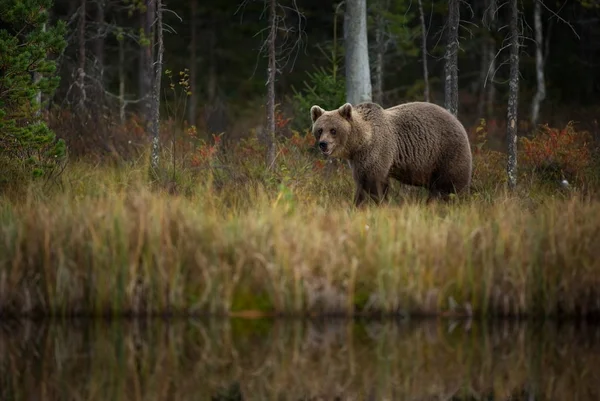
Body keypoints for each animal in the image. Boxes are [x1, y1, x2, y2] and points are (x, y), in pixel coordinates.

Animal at [310, 101, 474, 206]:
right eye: (320, 130)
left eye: (333, 130)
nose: (323, 144)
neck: (362, 141)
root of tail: (458, 121)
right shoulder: (358, 160)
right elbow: (361, 184)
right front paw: (357, 204)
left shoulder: (378, 150)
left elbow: (374, 182)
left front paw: (380, 204)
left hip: (447, 151)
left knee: (451, 185)